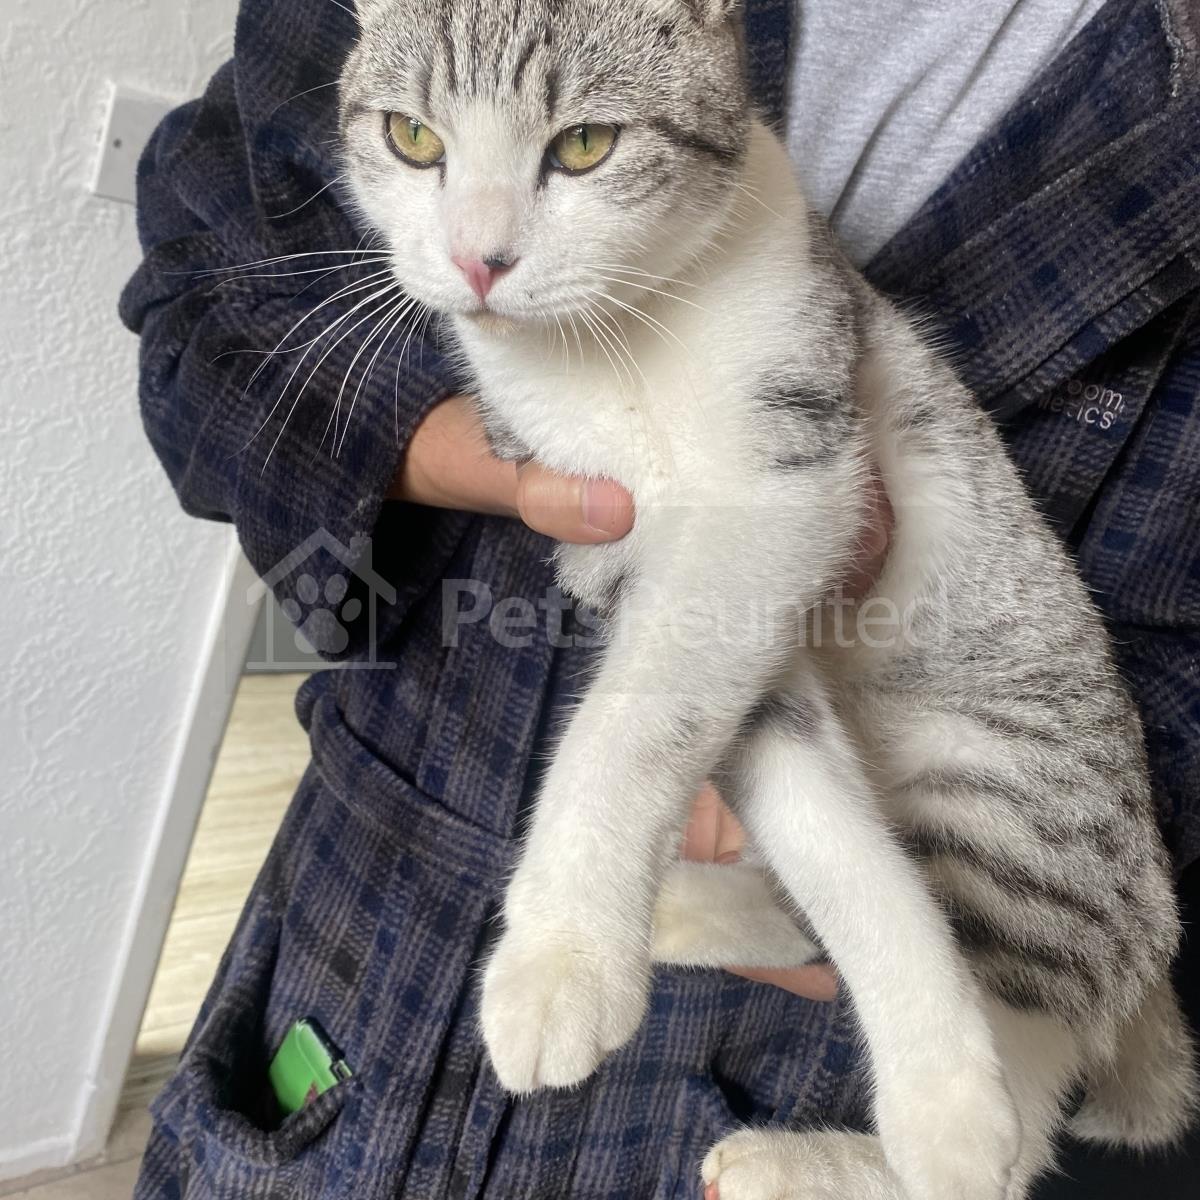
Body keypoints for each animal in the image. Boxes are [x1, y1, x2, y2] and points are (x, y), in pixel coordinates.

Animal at [339, 1, 1197, 1196]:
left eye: (585, 146)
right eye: (414, 139)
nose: (478, 259)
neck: (623, 339)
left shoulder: (787, 488)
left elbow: (635, 726)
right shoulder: (610, 532)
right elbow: (794, 789)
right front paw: (584, 941)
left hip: (1007, 800)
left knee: (1027, 1112)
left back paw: (817, 1160)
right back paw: (687, 914)